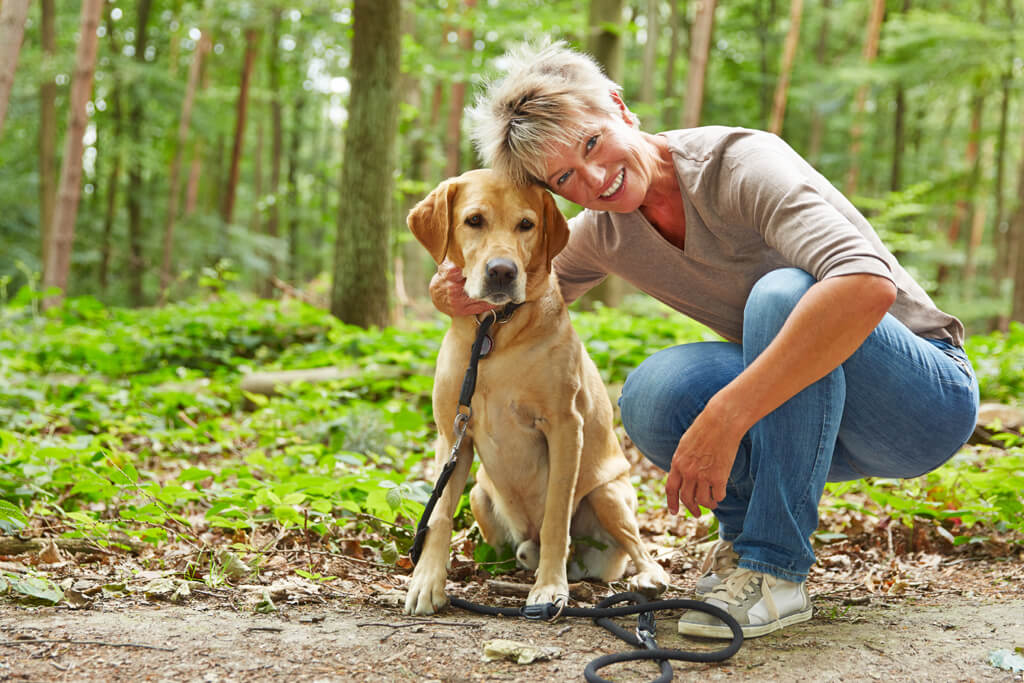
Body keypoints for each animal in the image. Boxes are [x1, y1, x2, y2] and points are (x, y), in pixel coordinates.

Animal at [399, 167, 671, 618]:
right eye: (474, 220)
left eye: (526, 224)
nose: (502, 271)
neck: (494, 332)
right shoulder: (452, 433)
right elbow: (438, 516)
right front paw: (427, 582)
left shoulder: (564, 427)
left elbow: (557, 516)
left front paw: (549, 588)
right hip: (480, 495)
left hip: (609, 495)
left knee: (637, 547)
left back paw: (646, 577)